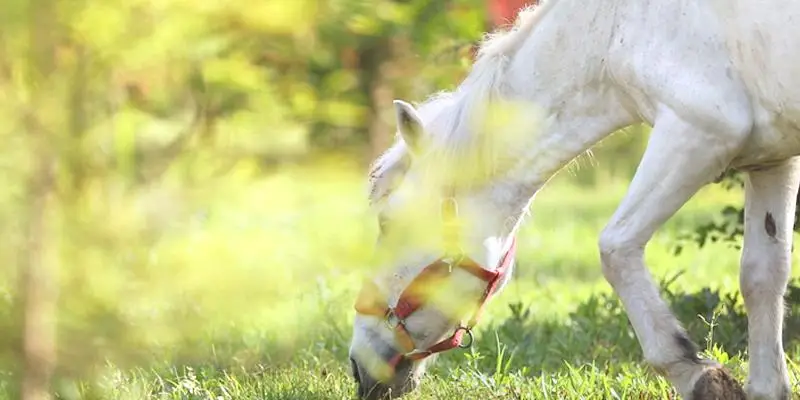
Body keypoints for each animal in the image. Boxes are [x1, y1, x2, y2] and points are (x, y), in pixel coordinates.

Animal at [348, 1, 800, 398]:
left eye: (388, 222)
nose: (358, 366)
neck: (616, 28)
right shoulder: (770, 160)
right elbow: (762, 275)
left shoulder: (701, 132)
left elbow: (615, 248)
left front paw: (697, 375)